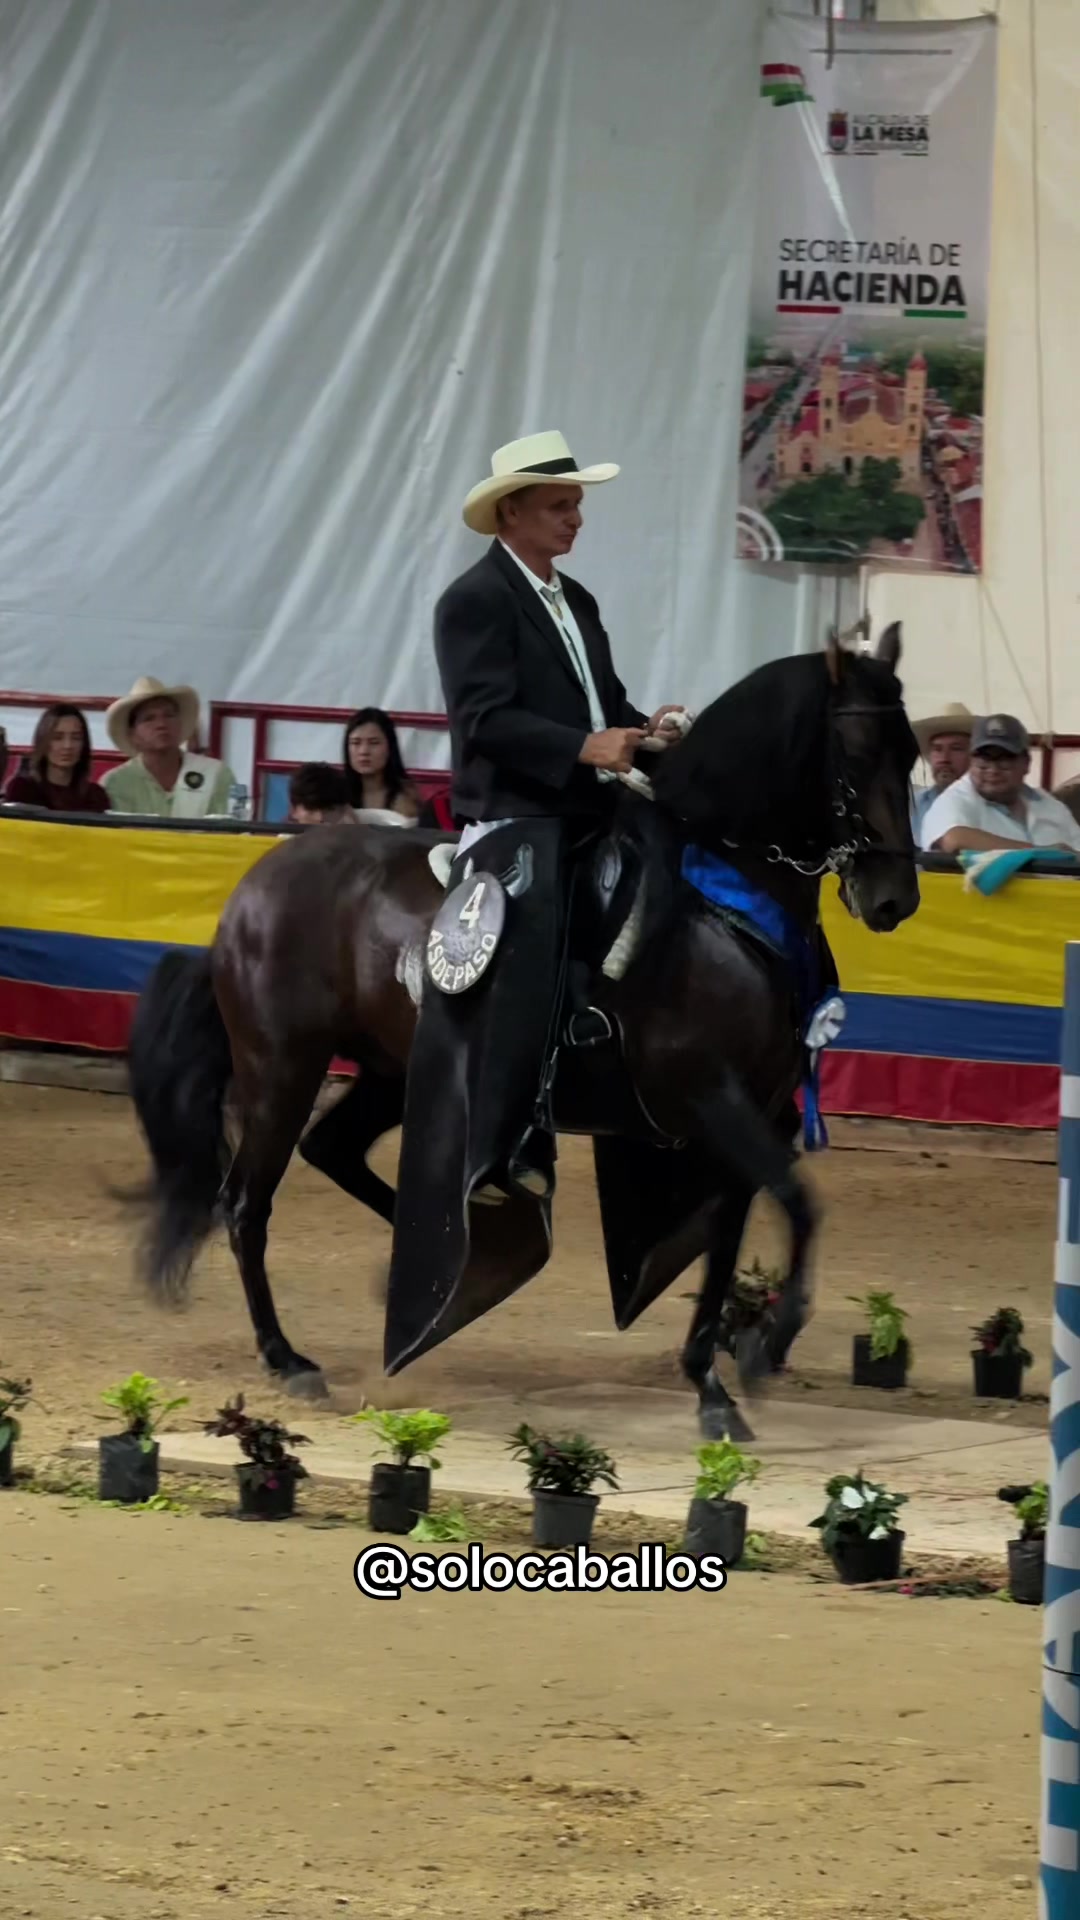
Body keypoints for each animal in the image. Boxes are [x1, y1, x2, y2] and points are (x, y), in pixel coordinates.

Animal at [124, 624, 920, 1439]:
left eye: (914, 752)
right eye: (856, 752)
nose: (894, 899)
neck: (721, 901)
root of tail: (249, 893)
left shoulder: (757, 1109)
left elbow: (739, 1221)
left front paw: (720, 1370)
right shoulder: (710, 1097)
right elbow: (795, 1200)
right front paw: (765, 1347)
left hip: (392, 1069)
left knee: (333, 1148)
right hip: (283, 1067)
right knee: (246, 1203)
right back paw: (289, 1359)